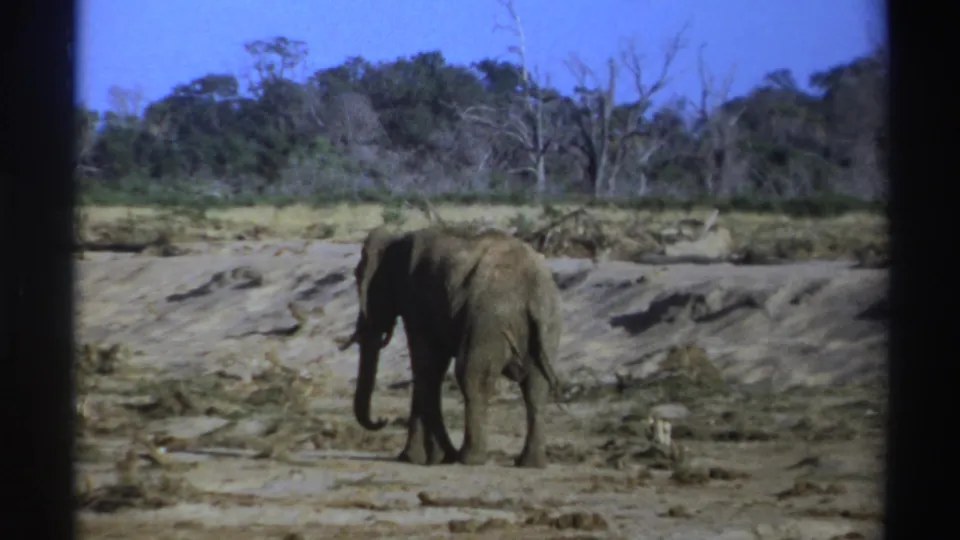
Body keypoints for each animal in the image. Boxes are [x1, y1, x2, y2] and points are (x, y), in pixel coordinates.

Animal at [338, 225, 563, 468]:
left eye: (359, 279)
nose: (383, 420)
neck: (396, 239)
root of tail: (533, 290)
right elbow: (430, 368)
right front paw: (424, 458)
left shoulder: (415, 299)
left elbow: (426, 366)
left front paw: (417, 458)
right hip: (548, 324)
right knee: (536, 387)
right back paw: (529, 463)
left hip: (489, 321)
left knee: (472, 377)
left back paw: (468, 459)